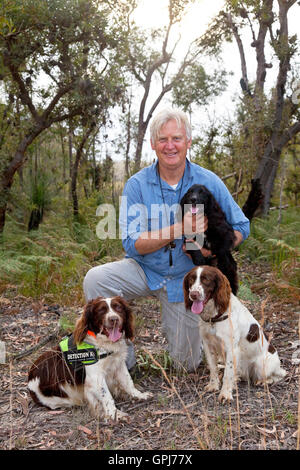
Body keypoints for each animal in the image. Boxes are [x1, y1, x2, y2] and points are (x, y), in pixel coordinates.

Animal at [183, 266, 286, 402]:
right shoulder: (208, 345)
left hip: (261, 365)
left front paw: (225, 394)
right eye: (191, 279)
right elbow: (213, 368)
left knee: (278, 375)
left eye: (206, 280)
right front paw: (213, 386)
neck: (215, 317)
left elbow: (227, 373)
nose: (193, 295)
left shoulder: (231, 348)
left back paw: (263, 381)